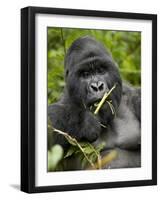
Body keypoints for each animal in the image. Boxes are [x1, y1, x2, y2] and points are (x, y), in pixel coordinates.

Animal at [48, 36, 141, 170]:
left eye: (101, 71)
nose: (97, 86)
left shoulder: (135, 97)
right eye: (86, 74)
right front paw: (85, 121)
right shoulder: (64, 100)